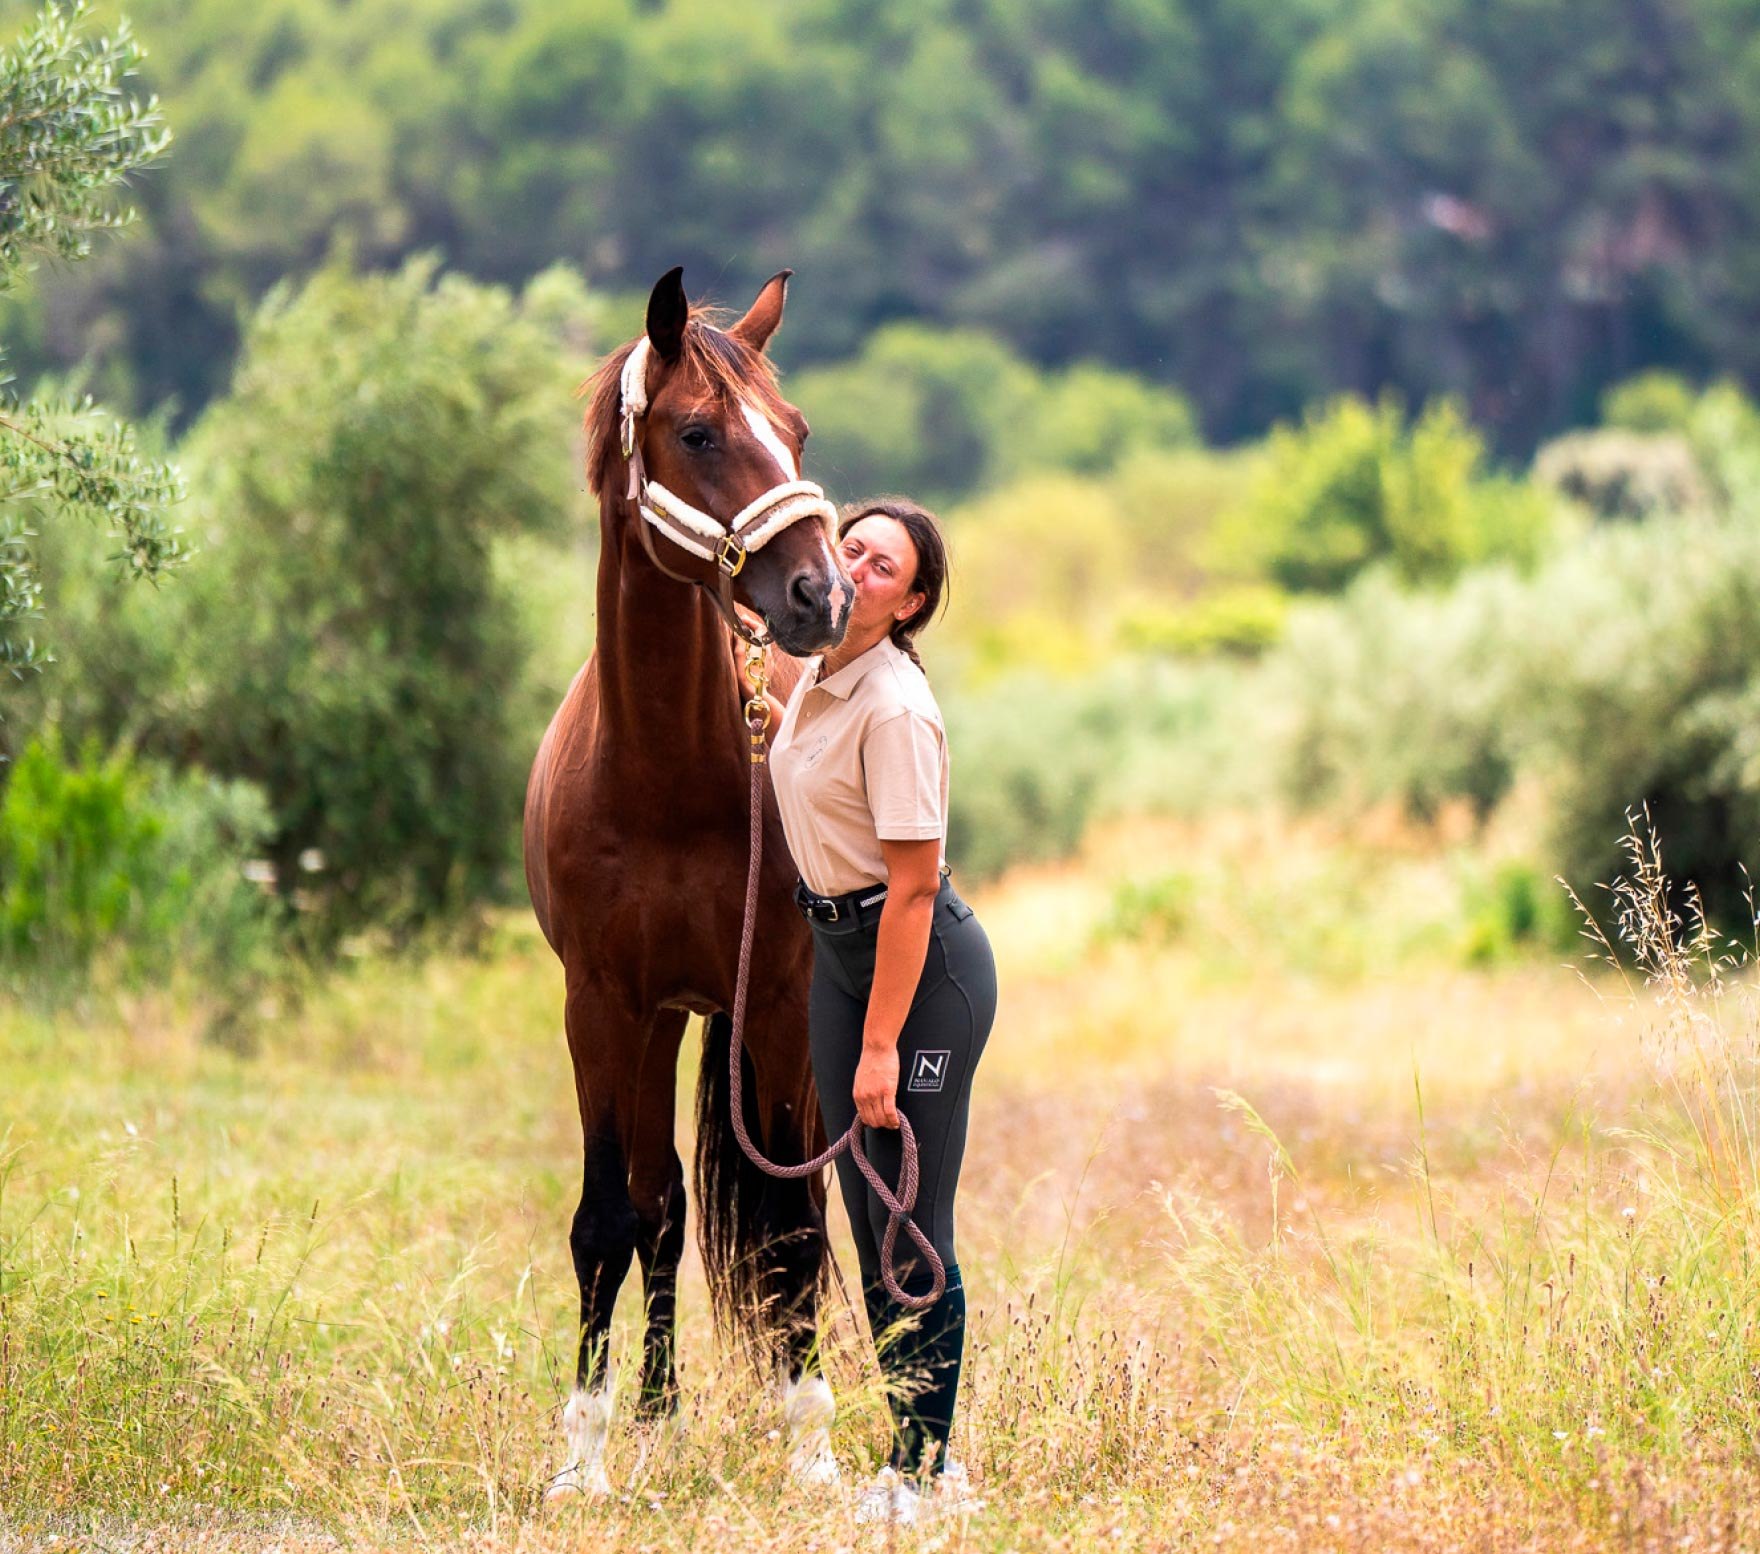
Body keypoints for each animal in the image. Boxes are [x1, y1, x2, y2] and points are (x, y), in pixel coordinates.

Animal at [523, 266, 854, 1498]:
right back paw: (658, 1412)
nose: (822, 595)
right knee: (660, 1205)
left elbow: (794, 1226)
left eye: (794, 428)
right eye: (700, 432)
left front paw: (812, 1443)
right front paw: (583, 1450)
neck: (662, 767)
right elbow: (605, 1218)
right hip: (663, 1017)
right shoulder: (600, 1007)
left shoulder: (776, 1005)